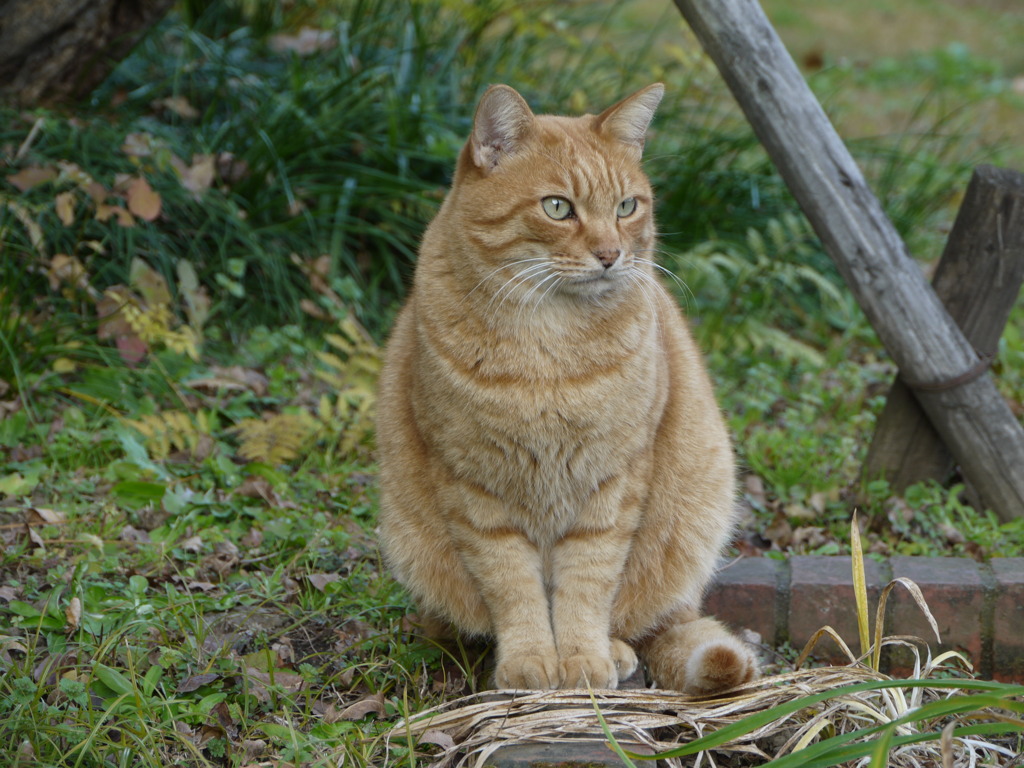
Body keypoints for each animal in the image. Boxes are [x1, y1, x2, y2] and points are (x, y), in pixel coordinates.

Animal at [378, 85, 761, 696]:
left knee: (645, 620)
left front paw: (581, 658)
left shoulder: (612, 482)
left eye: (627, 207)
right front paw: (530, 660)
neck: (550, 350)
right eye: (558, 207)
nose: (610, 254)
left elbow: (587, 581)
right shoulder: (474, 486)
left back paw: (616, 650)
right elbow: (513, 585)